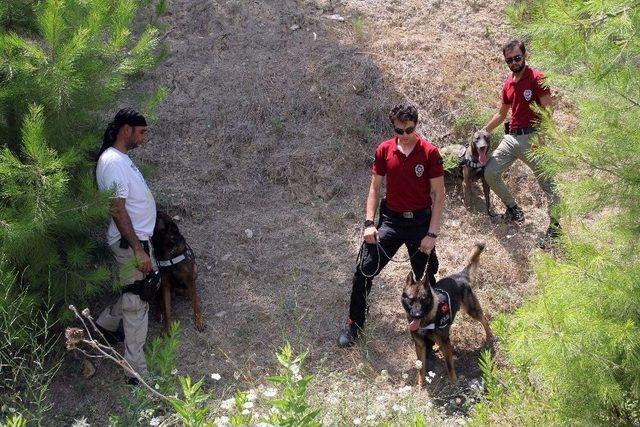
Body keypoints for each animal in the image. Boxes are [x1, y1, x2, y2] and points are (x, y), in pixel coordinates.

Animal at [402, 242, 492, 386]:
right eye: (411, 300)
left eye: (423, 300)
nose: (416, 315)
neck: (427, 320)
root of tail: (460, 275)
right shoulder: (420, 345)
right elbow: (421, 367)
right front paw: (421, 384)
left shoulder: (444, 342)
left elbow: (449, 364)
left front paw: (454, 381)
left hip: (472, 311)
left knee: (484, 320)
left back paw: (489, 336)